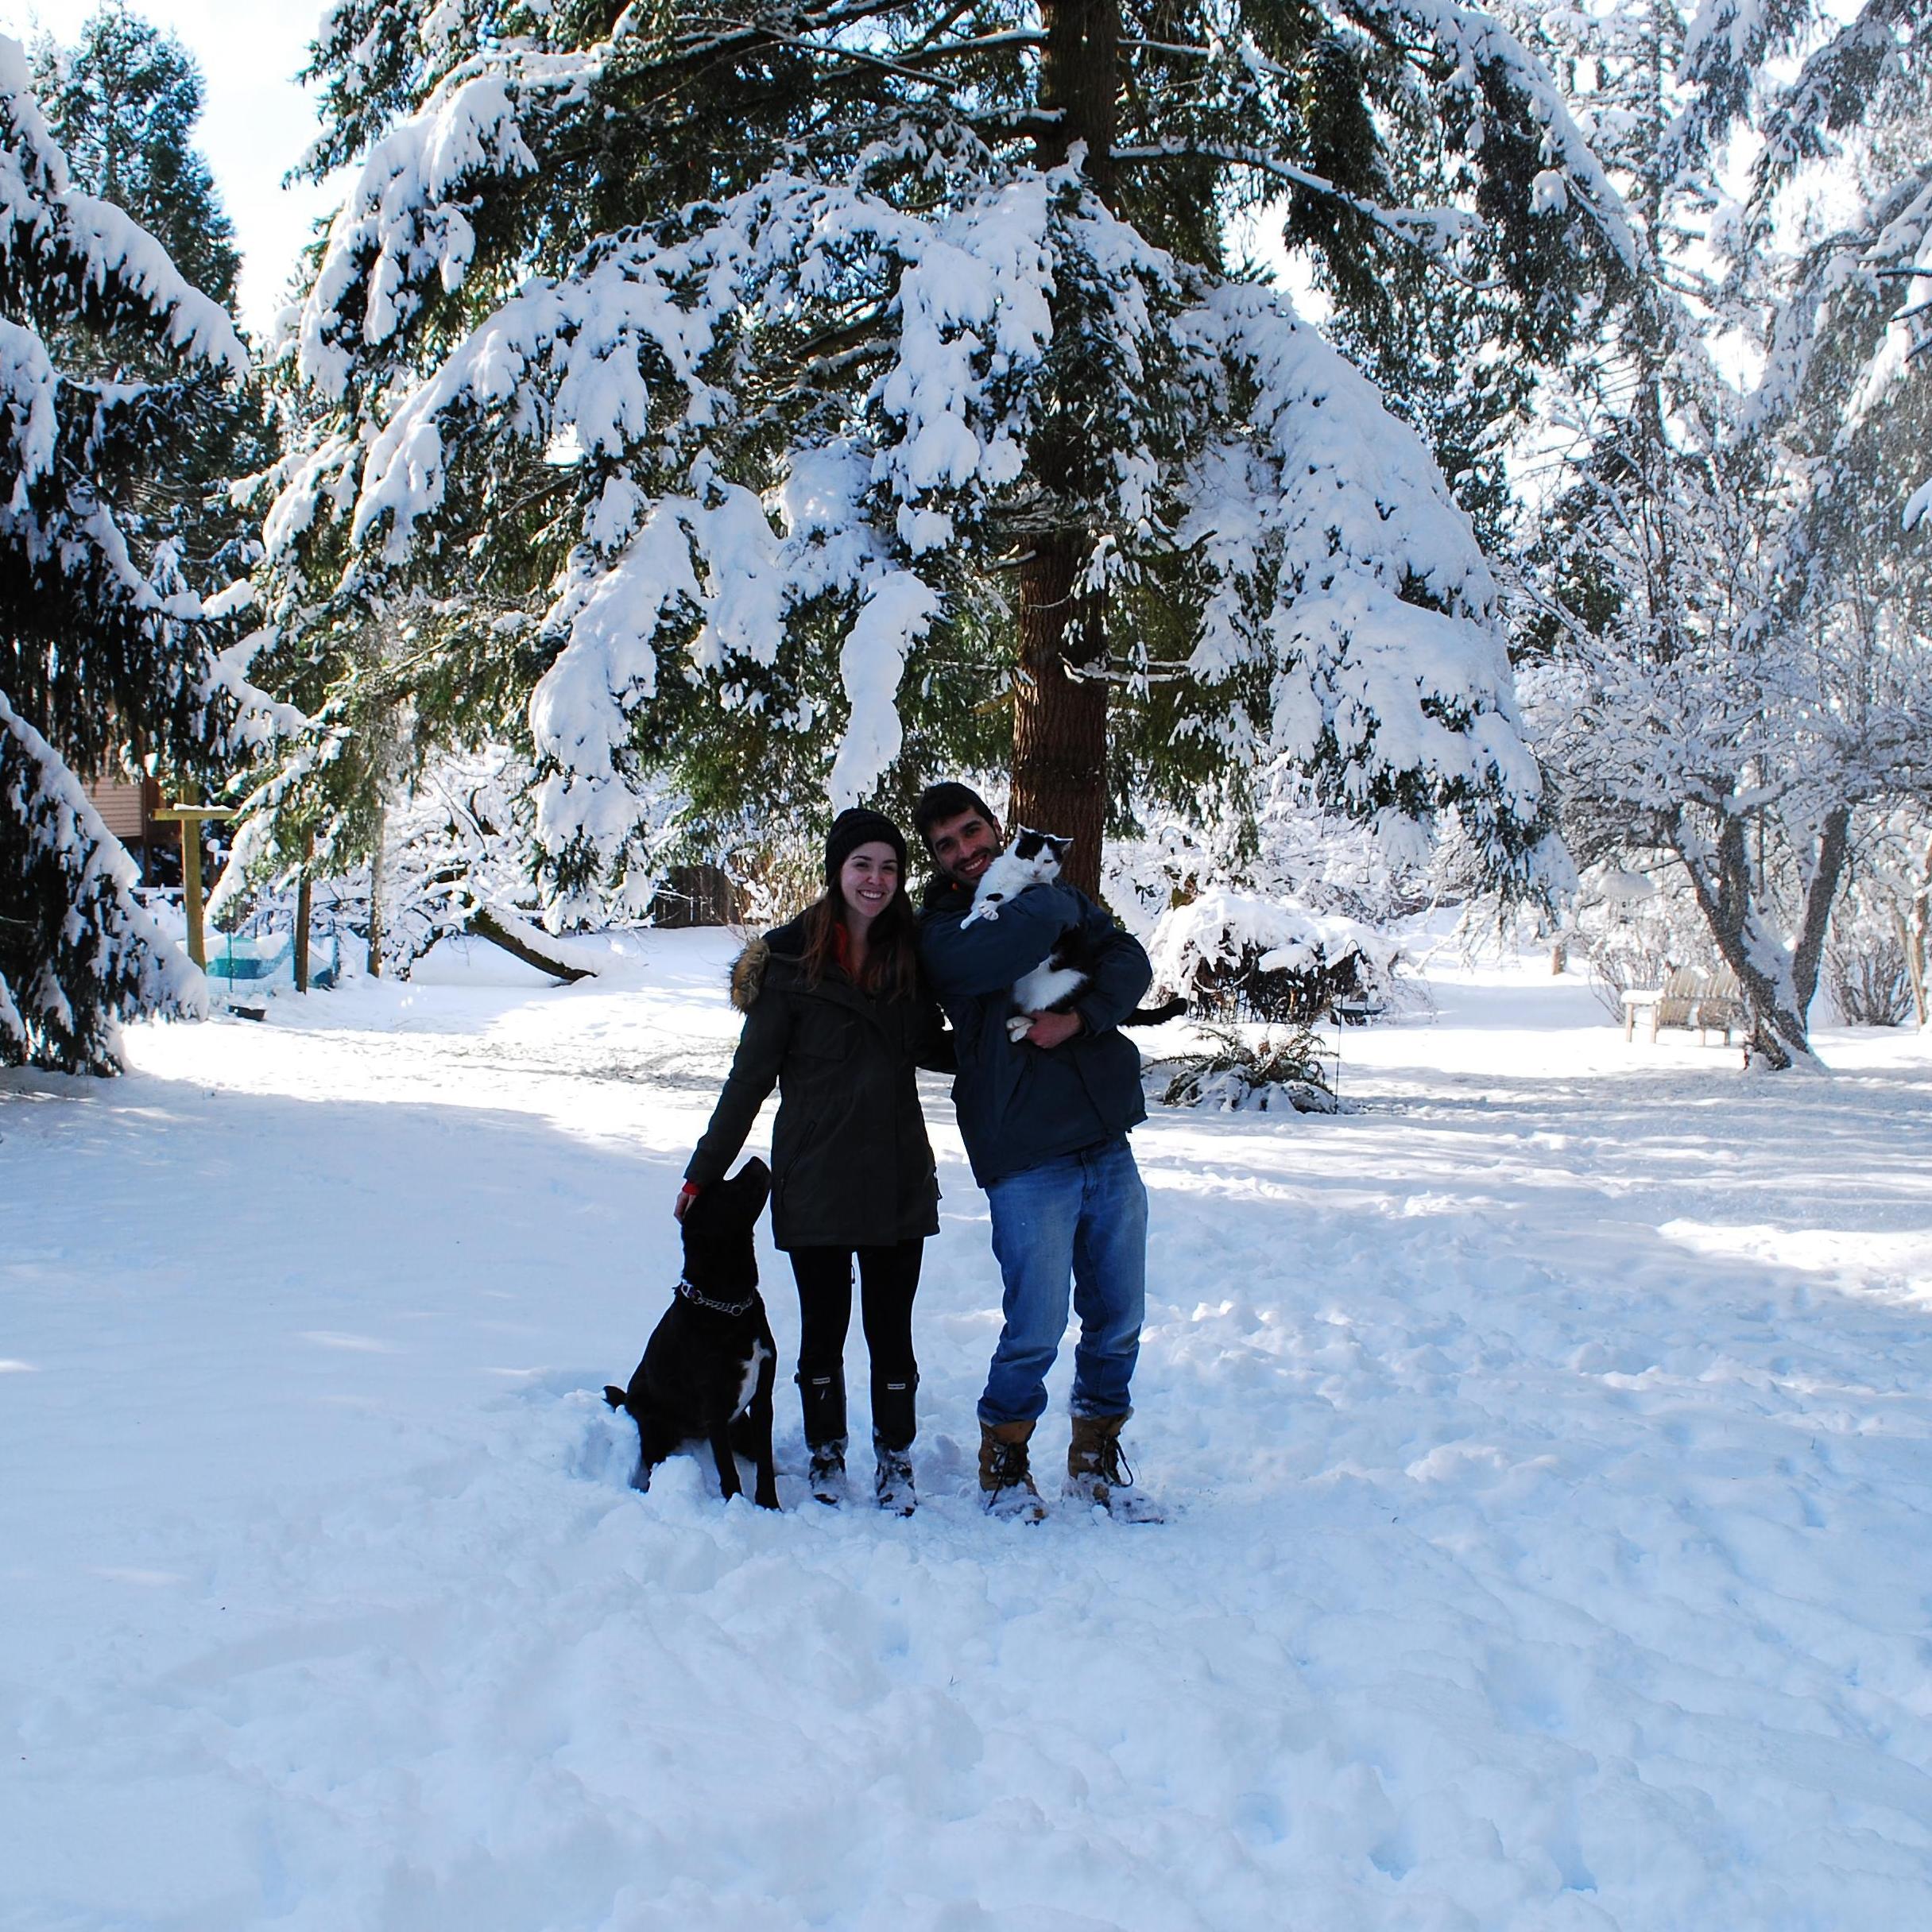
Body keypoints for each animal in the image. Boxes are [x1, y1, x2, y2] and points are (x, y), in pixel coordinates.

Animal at [604, 1157, 780, 1508]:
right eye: (723, 1190)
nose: (755, 1159)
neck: (731, 1305)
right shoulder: (714, 1405)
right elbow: (727, 1469)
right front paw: (736, 1505)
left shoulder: (762, 1399)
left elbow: (765, 1462)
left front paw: (769, 1504)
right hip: (653, 1423)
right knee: (653, 1464)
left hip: (741, 1425)